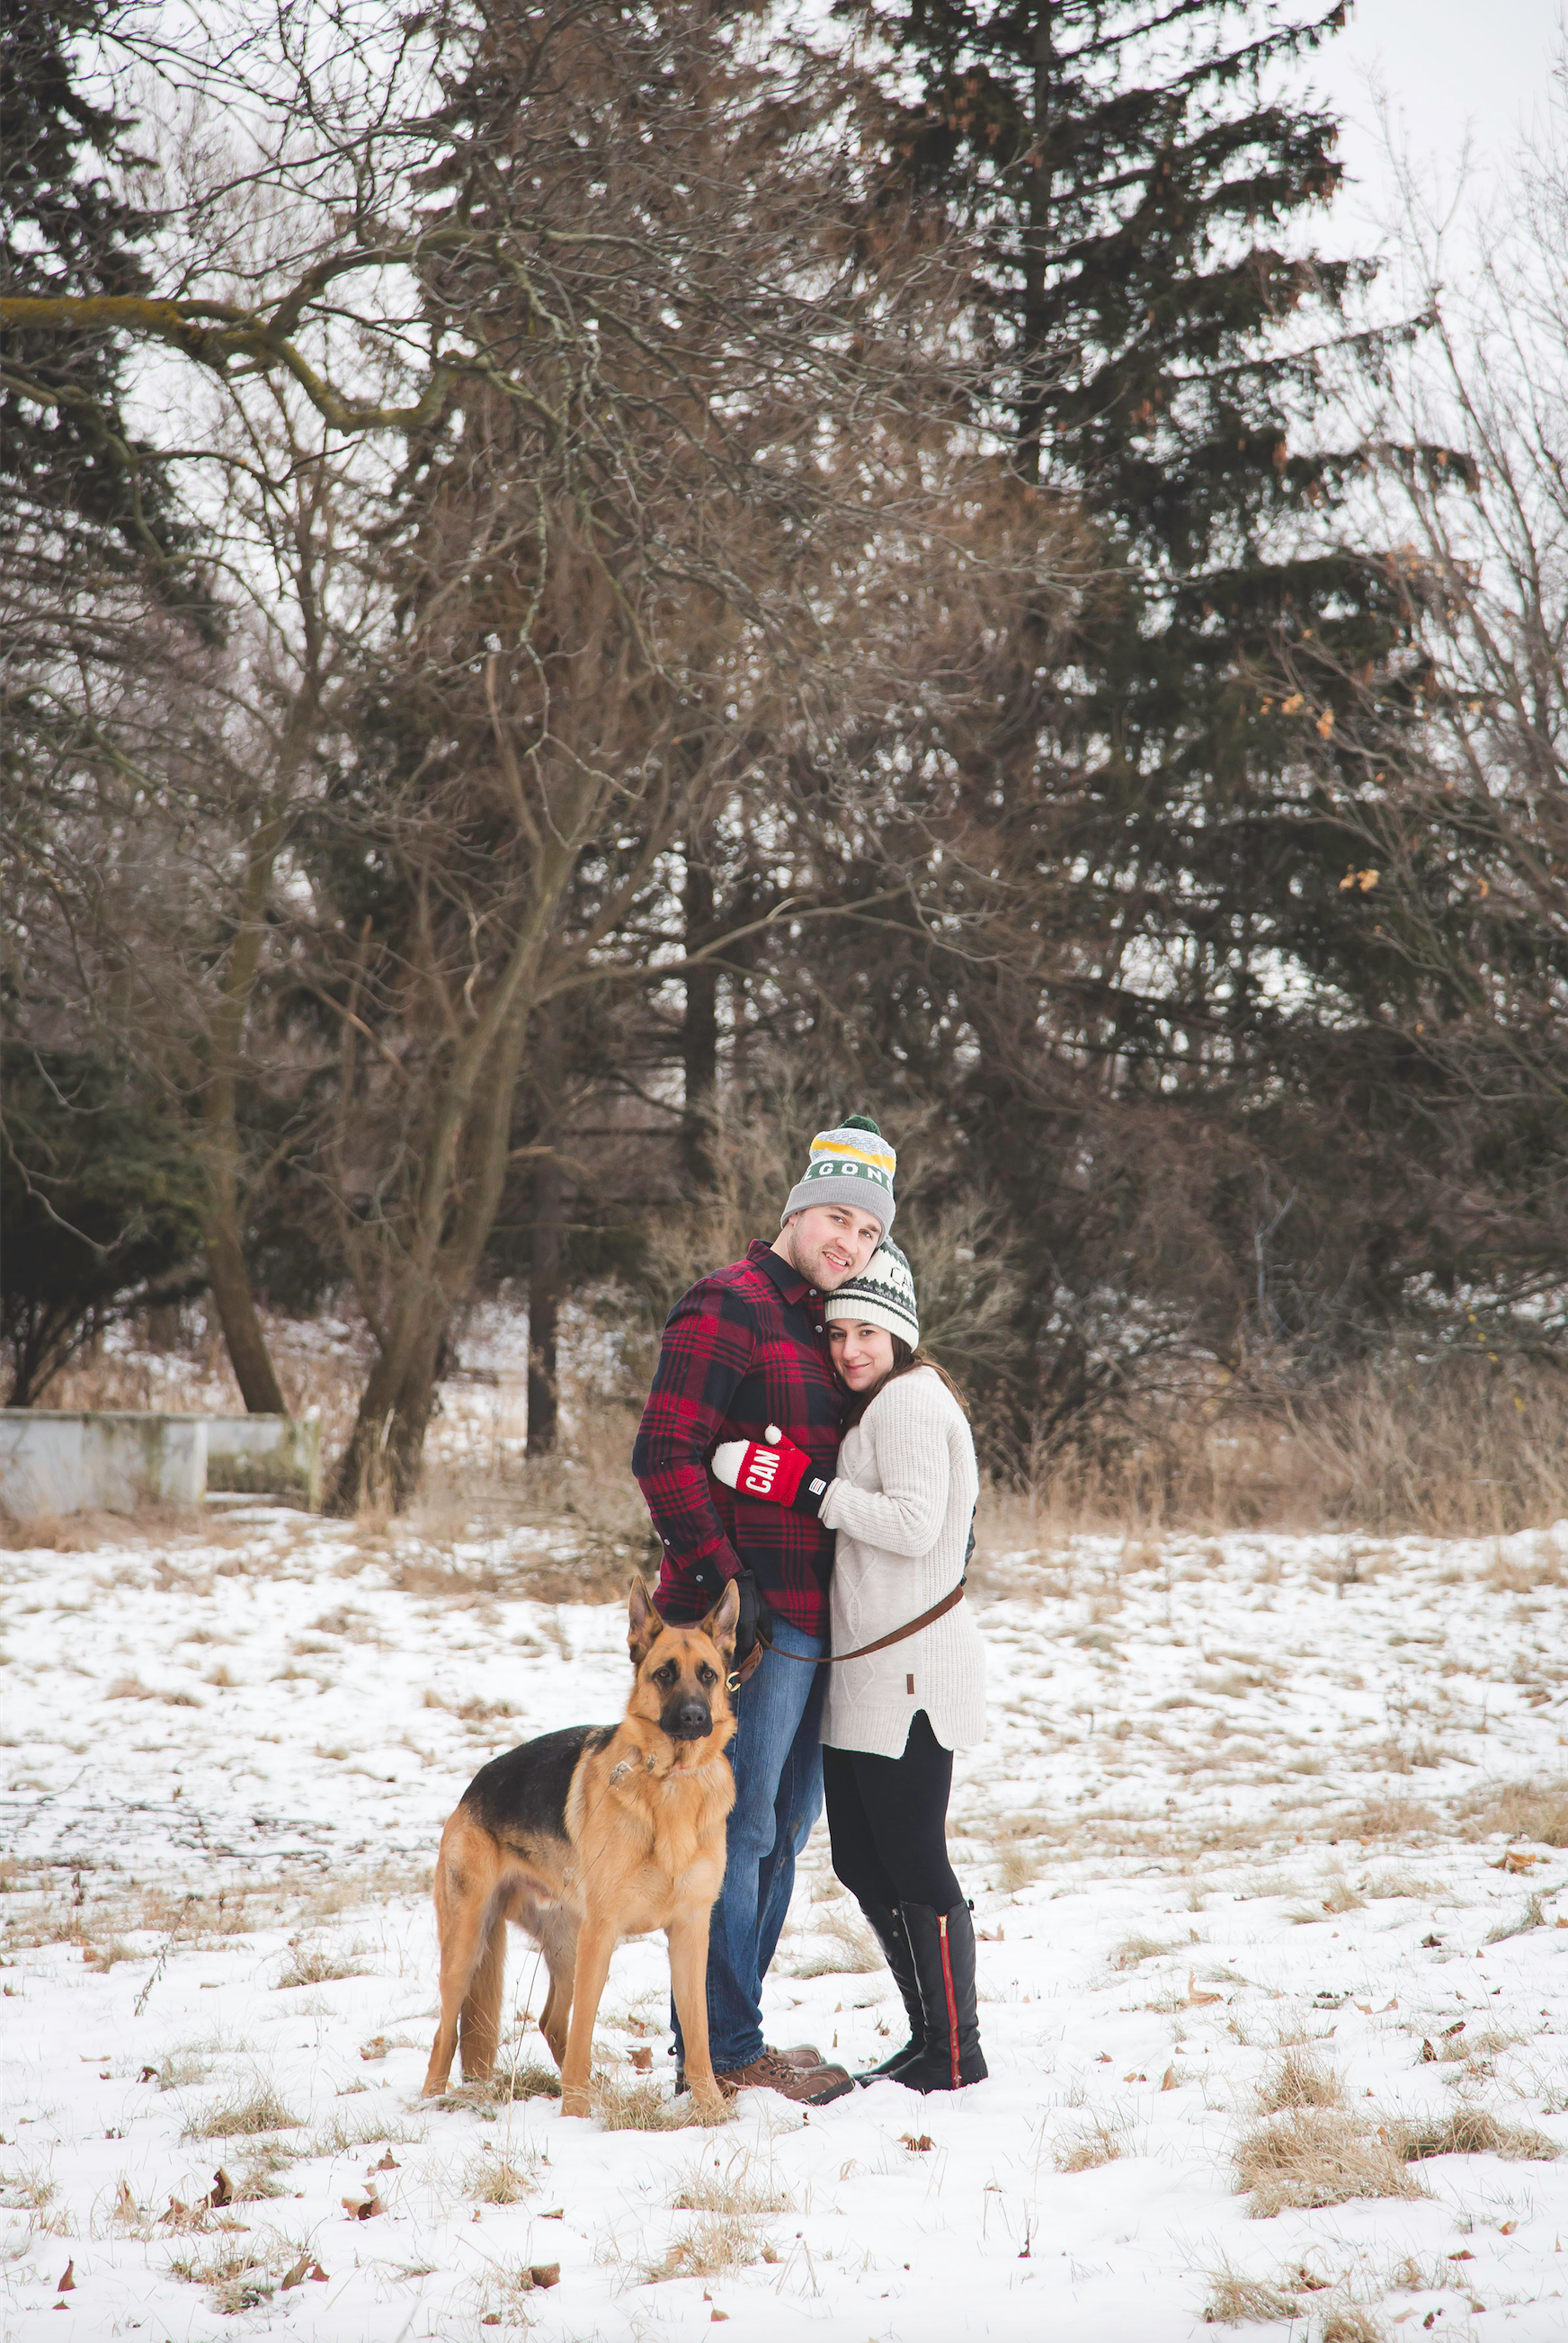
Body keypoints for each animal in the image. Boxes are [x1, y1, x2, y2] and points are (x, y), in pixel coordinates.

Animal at [422, 1574, 740, 2127]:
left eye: (709, 1675)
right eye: (663, 1674)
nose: (694, 1716)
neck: (671, 1784)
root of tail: (473, 1788)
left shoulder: (689, 1933)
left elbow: (699, 2038)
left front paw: (712, 2111)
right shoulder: (604, 1932)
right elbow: (586, 2034)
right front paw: (575, 2115)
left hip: (567, 1944)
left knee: (552, 2021)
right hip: (470, 1947)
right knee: (447, 2033)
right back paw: (429, 2107)